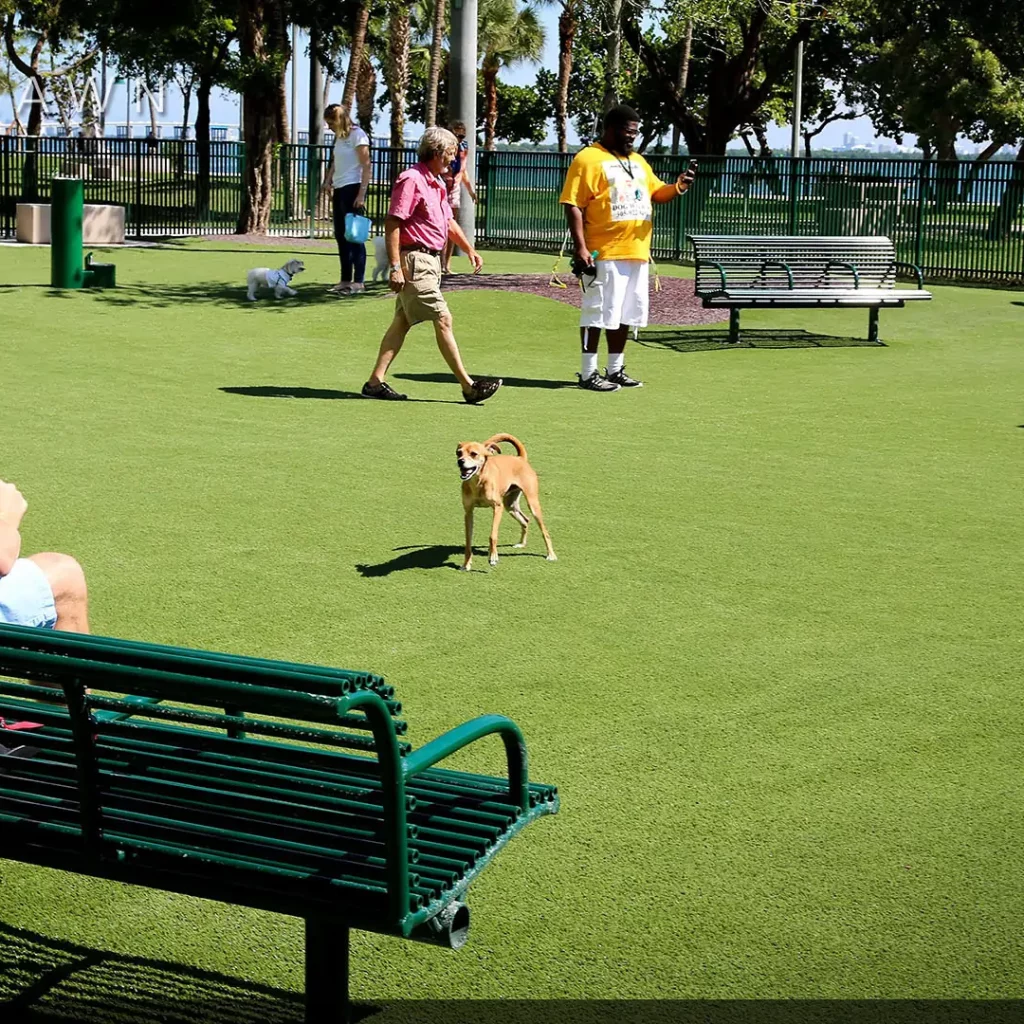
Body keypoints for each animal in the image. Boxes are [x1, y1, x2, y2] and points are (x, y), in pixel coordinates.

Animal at [454, 432, 557, 573]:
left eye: (474, 454)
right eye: (458, 453)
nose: (460, 461)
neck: (478, 483)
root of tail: (520, 458)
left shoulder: (498, 507)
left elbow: (493, 535)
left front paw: (493, 557)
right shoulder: (468, 512)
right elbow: (468, 539)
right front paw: (466, 564)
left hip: (532, 503)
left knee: (544, 531)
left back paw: (551, 554)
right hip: (511, 505)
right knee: (525, 520)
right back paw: (522, 543)